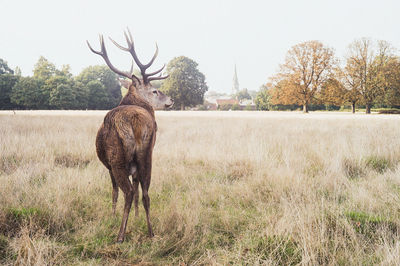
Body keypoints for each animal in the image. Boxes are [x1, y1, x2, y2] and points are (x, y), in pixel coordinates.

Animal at [86, 29, 173, 243]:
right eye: (155, 90)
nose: (171, 100)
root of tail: (135, 120)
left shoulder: (109, 166)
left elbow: (114, 192)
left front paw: (112, 216)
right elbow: (137, 189)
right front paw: (136, 217)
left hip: (117, 158)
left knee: (128, 191)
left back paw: (120, 235)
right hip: (147, 155)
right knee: (145, 193)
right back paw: (151, 232)